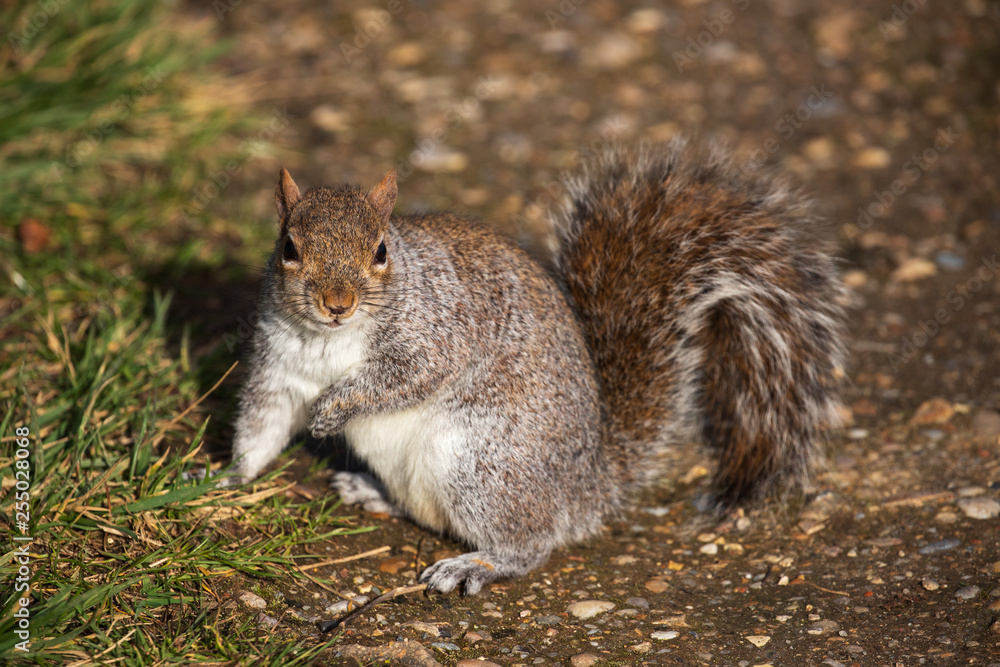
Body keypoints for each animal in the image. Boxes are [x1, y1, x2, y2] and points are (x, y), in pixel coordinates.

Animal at [229, 140, 847, 595]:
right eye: (289, 247)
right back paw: (370, 490)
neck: (328, 341)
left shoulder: (437, 334)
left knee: (531, 544)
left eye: (381, 251)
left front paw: (334, 411)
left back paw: (474, 565)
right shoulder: (277, 367)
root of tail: (588, 485)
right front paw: (225, 481)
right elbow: (261, 426)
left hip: (481, 464)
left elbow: (404, 379)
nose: (338, 304)